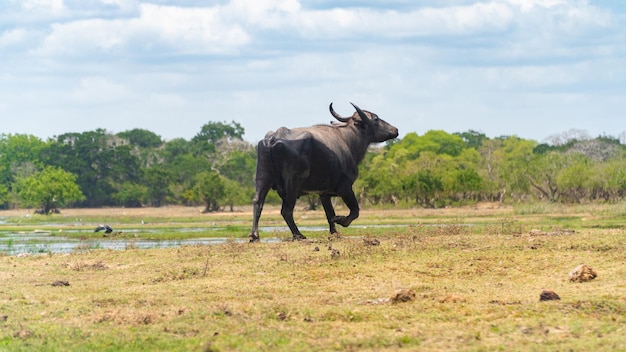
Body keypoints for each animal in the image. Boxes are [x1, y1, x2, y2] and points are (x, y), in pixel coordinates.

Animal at [247, 102, 398, 242]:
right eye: (376, 118)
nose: (395, 129)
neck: (349, 141)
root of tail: (272, 139)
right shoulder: (345, 187)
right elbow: (354, 211)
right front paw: (340, 220)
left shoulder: (324, 193)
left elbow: (329, 213)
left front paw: (334, 232)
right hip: (292, 184)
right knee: (286, 211)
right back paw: (299, 235)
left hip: (262, 177)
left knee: (257, 202)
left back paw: (255, 235)